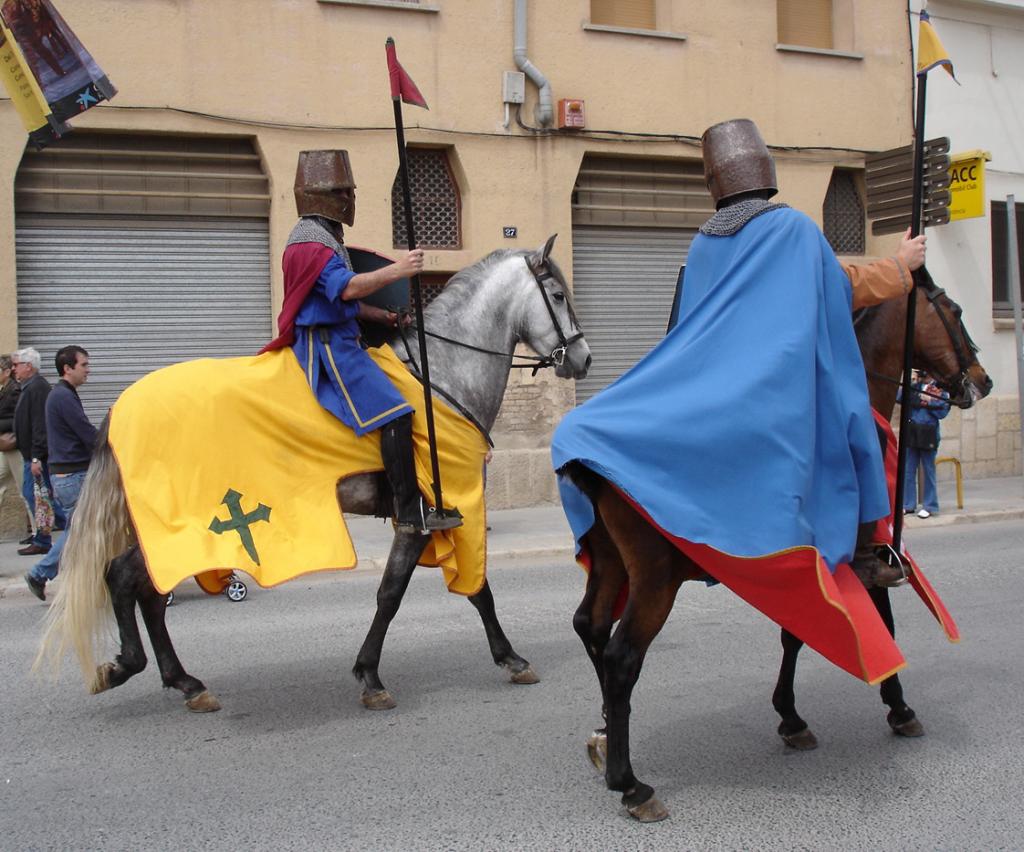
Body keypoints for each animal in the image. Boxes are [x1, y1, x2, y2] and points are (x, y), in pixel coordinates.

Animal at [561, 268, 991, 827]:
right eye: (955, 312)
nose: (982, 379)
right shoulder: (862, 558)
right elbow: (877, 623)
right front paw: (899, 708)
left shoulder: (810, 576)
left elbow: (795, 634)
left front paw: (791, 718)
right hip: (655, 580)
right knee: (621, 658)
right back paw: (631, 784)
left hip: (612, 564)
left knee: (590, 626)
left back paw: (604, 734)